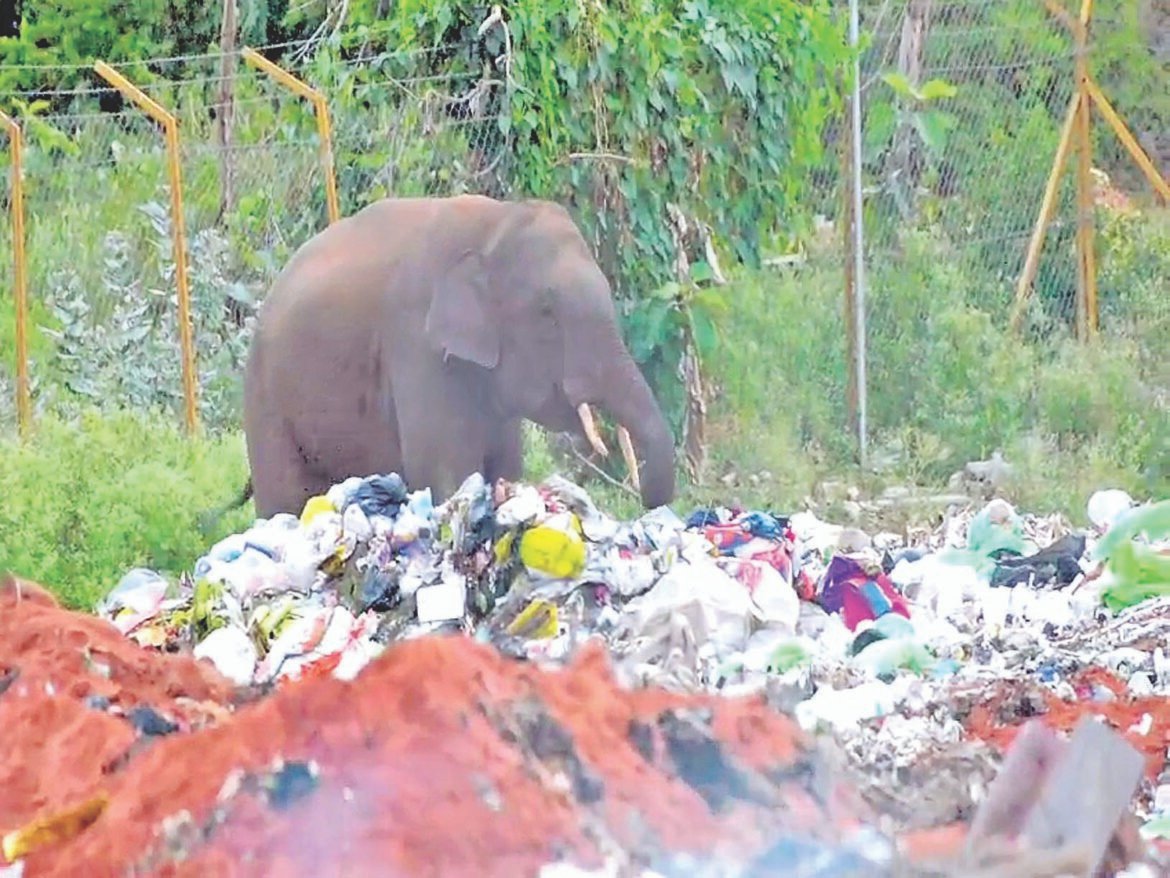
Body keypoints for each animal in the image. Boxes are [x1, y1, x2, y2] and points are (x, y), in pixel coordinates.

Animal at [238, 193, 678, 522]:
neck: (496, 223)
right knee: (284, 499)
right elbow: (445, 474)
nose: (647, 503)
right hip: (265, 403)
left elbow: (504, 468)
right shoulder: (417, 345)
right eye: (547, 314)